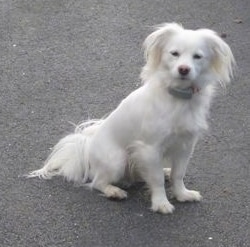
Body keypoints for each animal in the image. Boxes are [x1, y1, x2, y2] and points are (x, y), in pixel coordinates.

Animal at [27, 22, 234, 213]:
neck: (178, 97)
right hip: (118, 160)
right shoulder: (149, 148)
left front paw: (182, 194)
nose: (184, 69)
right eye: (174, 54)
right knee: (97, 182)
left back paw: (163, 171)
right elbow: (156, 180)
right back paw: (114, 191)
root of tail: (88, 148)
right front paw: (161, 203)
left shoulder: (185, 146)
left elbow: (179, 174)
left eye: (197, 57)